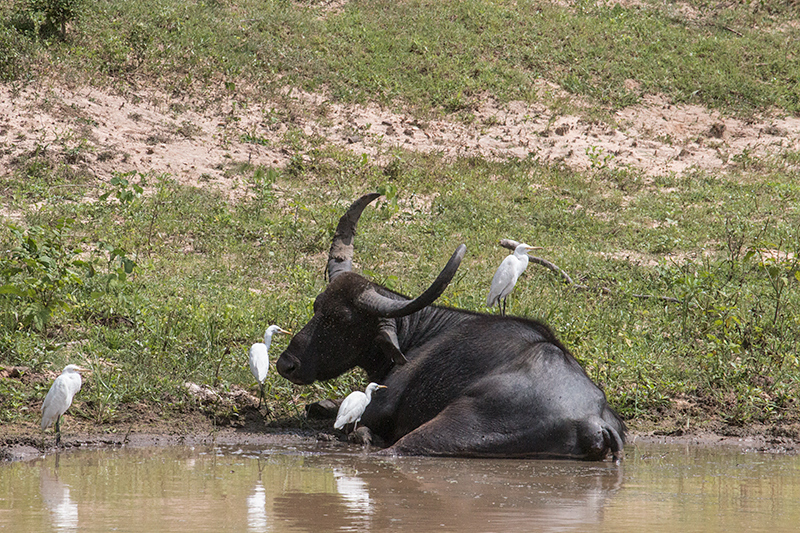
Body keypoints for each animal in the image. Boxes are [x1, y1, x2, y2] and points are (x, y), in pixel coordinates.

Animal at [278, 193, 628, 460]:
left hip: (437, 433)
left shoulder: (380, 406)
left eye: (342, 320)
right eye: (317, 306)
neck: (417, 335)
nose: (286, 364)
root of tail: (593, 422)